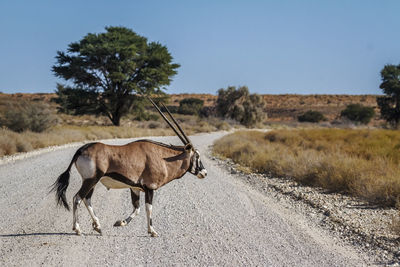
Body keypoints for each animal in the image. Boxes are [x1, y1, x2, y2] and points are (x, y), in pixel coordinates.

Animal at [52, 98, 208, 237]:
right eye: (197, 156)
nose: (204, 173)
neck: (162, 157)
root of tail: (81, 150)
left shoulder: (135, 188)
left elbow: (137, 208)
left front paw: (120, 222)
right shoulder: (150, 188)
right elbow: (148, 208)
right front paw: (152, 231)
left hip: (92, 182)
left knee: (87, 199)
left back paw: (98, 227)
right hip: (91, 180)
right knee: (77, 198)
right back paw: (78, 229)